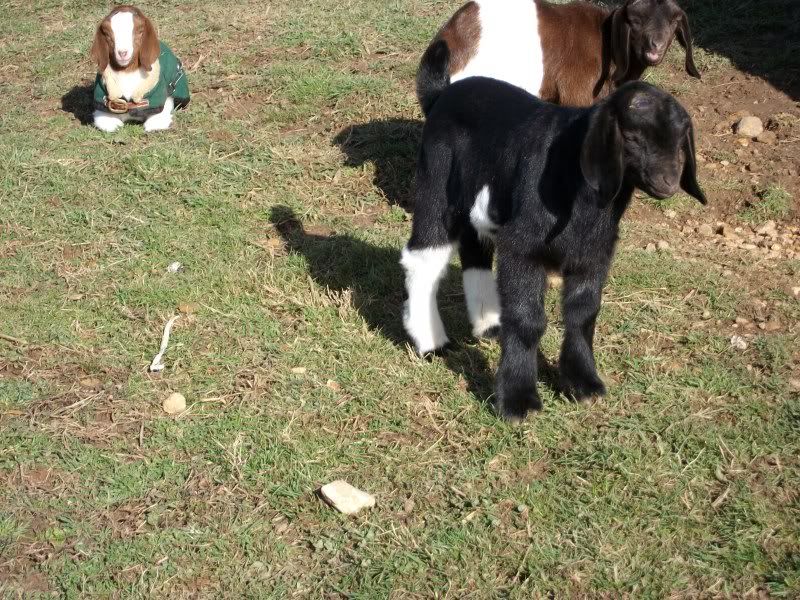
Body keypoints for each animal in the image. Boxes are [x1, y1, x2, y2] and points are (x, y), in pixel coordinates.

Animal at [401, 78, 706, 421]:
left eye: (680, 141)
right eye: (631, 137)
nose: (669, 182)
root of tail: (442, 94)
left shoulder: (594, 254)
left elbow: (583, 314)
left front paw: (584, 384)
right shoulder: (523, 248)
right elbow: (527, 319)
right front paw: (518, 401)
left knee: (475, 251)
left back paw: (489, 325)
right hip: (436, 183)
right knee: (423, 258)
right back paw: (430, 341)